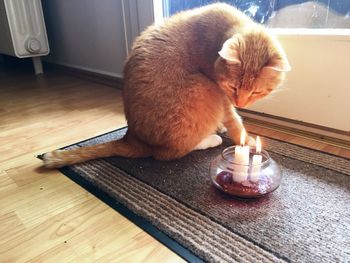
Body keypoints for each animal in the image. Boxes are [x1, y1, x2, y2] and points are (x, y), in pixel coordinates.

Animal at [43, 3, 290, 168]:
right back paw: (209, 139)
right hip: (203, 88)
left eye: (257, 91)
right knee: (168, 153)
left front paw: (223, 125)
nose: (241, 103)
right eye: (233, 87)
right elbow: (235, 122)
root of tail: (132, 137)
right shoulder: (220, 93)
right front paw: (245, 140)